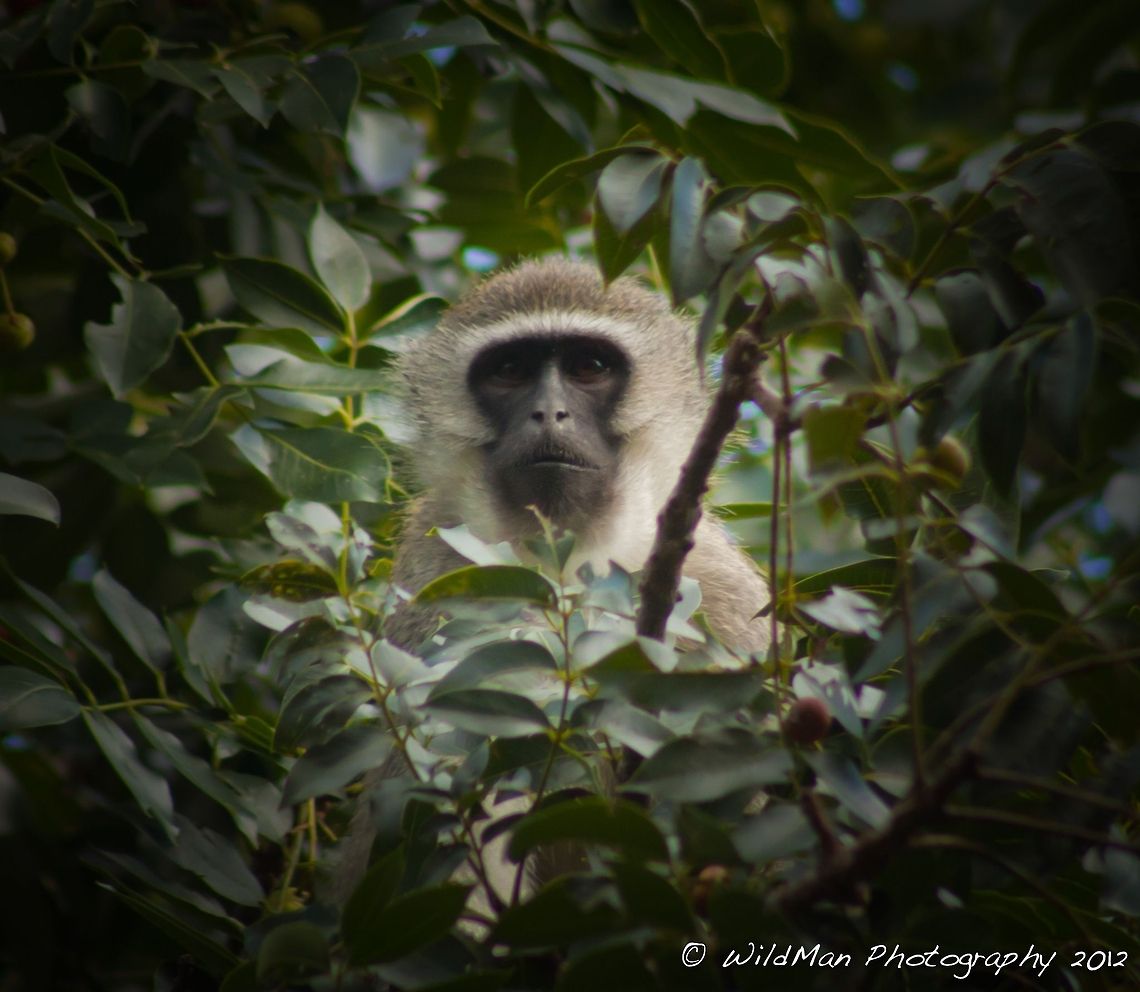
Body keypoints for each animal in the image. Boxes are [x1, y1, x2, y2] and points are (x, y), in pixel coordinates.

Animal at [334, 258, 771, 918]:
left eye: (589, 366)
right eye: (509, 371)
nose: (549, 415)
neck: (571, 572)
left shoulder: (722, 598)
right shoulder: (437, 584)